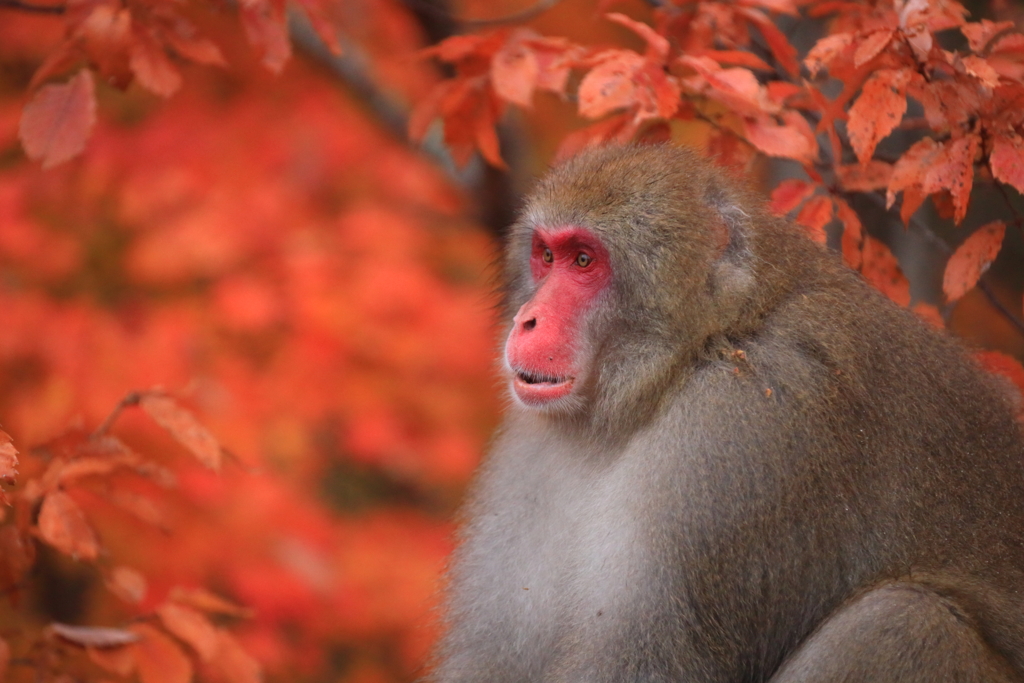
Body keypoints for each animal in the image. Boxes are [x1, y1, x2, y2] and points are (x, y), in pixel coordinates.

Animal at [430, 145, 1024, 683]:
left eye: (584, 260)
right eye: (546, 256)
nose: (527, 320)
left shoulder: (737, 431)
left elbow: (648, 661)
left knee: (905, 620)